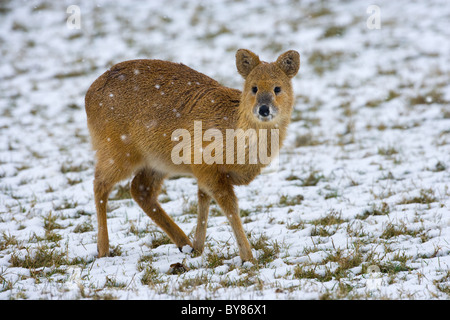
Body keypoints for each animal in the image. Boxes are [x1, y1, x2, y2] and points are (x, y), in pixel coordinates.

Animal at [86, 48, 300, 262]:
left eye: (277, 88)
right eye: (254, 88)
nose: (263, 109)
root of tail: (88, 95)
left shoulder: (205, 171)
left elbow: (203, 199)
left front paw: (198, 247)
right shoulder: (206, 167)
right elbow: (229, 207)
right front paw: (248, 258)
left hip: (157, 162)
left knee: (140, 190)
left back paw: (184, 243)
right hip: (116, 150)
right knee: (100, 184)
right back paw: (103, 249)